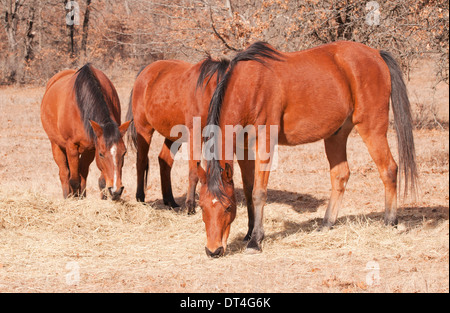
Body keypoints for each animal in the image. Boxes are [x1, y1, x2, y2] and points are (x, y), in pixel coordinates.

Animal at [39, 63, 132, 200]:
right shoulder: (72, 147)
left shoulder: (91, 148)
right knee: (64, 174)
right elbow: (74, 180)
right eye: (101, 154)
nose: (116, 190)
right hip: (56, 145)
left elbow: (96, 180)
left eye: (124, 153)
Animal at [126, 55, 232, 212]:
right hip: (144, 129)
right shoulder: (196, 135)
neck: (209, 92)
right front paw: (191, 205)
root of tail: (144, 72)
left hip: (174, 136)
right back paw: (140, 197)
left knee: (164, 161)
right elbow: (194, 171)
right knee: (141, 161)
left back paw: (170, 200)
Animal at [197, 41, 418, 256]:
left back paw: (389, 221)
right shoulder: (244, 148)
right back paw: (327, 223)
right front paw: (249, 232)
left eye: (228, 207)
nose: (213, 250)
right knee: (340, 175)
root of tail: (376, 54)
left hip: (371, 128)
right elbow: (248, 189)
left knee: (388, 169)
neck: (251, 85)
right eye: (202, 206)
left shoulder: (265, 143)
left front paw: (255, 241)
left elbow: (258, 192)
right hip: (336, 135)